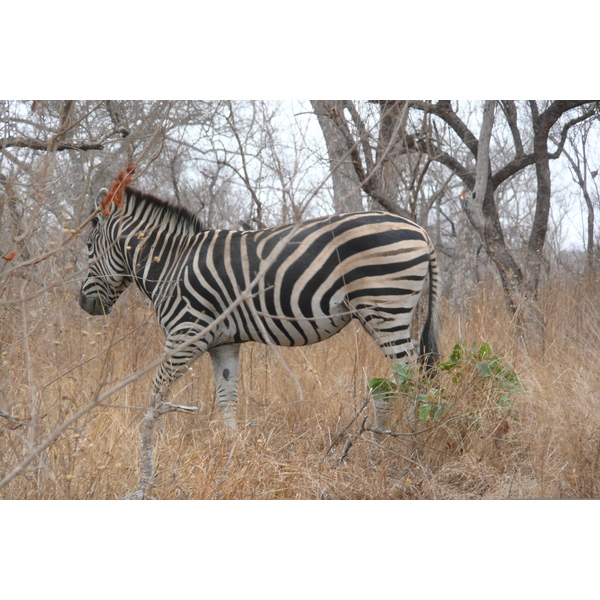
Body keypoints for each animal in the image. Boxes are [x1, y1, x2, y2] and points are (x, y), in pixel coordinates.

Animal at [77, 179, 440, 496]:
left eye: (89, 246)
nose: (83, 303)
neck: (170, 266)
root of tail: (420, 230)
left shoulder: (185, 334)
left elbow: (156, 398)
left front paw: (148, 467)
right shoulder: (223, 343)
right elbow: (227, 399)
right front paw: (231, 454)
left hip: (385, 308)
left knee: (412, 379)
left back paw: (410, 448)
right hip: (384, 314)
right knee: (405, 379)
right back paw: (392, 447)